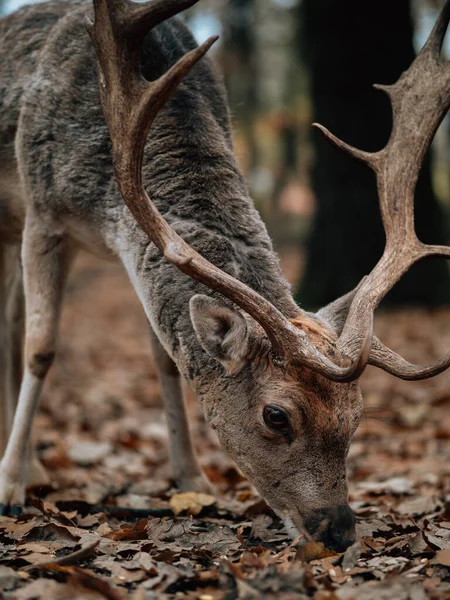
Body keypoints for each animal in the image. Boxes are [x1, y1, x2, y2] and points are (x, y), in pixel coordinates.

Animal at [0, 0, 448, 552]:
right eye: (276, 416)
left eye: (358, 415)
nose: (339, 530)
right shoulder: (44, 214)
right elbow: (41, 348)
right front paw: (9, 488)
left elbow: (165, 357)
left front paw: (192, 481)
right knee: (16, 328)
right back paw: (26, 469)